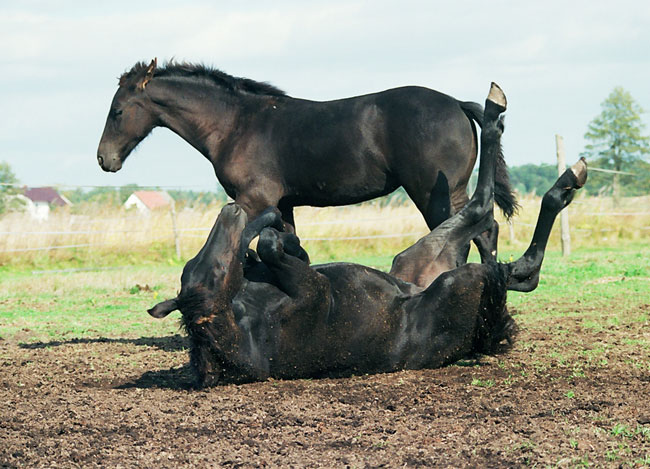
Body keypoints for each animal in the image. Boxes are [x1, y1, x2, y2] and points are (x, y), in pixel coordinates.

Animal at [97, 59, 512, 260]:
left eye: (117, 111)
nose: (104, 159)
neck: (235, 124)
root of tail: (456, 103)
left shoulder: (255, 200)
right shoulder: (283, 205)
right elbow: (292, 249)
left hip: (434, 193)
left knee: (467, 235)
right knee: (485, 232)